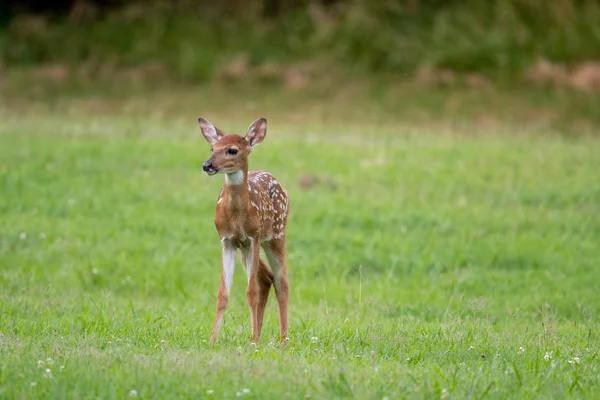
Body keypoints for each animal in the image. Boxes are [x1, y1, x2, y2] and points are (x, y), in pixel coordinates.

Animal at [198, 117, 290, 346]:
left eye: (232, 150)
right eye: (212, 148)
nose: (207, 165)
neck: (237, 217)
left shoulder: (253, 237)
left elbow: (251, 292)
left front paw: (254, 341)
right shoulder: (227, 240)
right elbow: (223, 293)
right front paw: (212, 340)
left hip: (275, 235)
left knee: (281, 281)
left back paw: (283, 338)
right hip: (244, 249)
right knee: (266, 278)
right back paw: (257, 334)